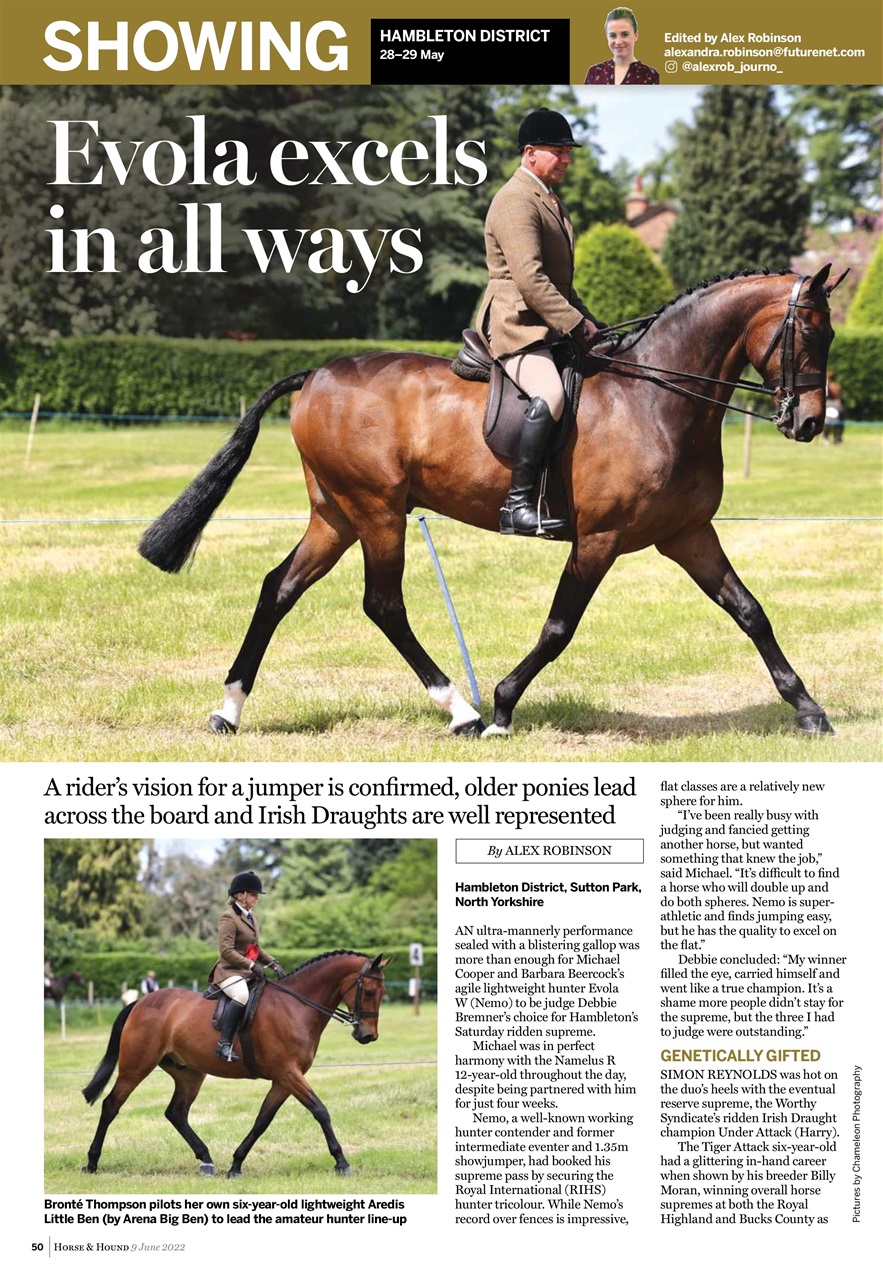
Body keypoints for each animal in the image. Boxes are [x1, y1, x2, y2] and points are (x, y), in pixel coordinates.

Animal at [82, 951, 389, 1179]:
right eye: (369, 991)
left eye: (382, 991)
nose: (368, 1036)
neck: (295, 1006)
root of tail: (140, 1002)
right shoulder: (289, 1073)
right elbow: (320, 1111)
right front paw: (341, 1162)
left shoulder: (284, 1079)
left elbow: (262, 1120)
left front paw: (236, 1165)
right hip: (136, 1067)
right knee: (111, 1105)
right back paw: (92, 1163)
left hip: (189, 1074)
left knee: (176, 1113)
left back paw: (206, 1160)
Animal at [139, 265, 845, 739]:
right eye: (810, 334)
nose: (810, 422)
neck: (658, 400)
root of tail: (314, 373)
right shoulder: (600, 540)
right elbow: (559, 627)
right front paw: (505, 704)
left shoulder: (690, 534)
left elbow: (751, 613)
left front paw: (809, 710)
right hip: (378, 510)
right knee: (383, 604)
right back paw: (463, 711)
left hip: (335, 515)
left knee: (278, 589)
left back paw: (228, 709)